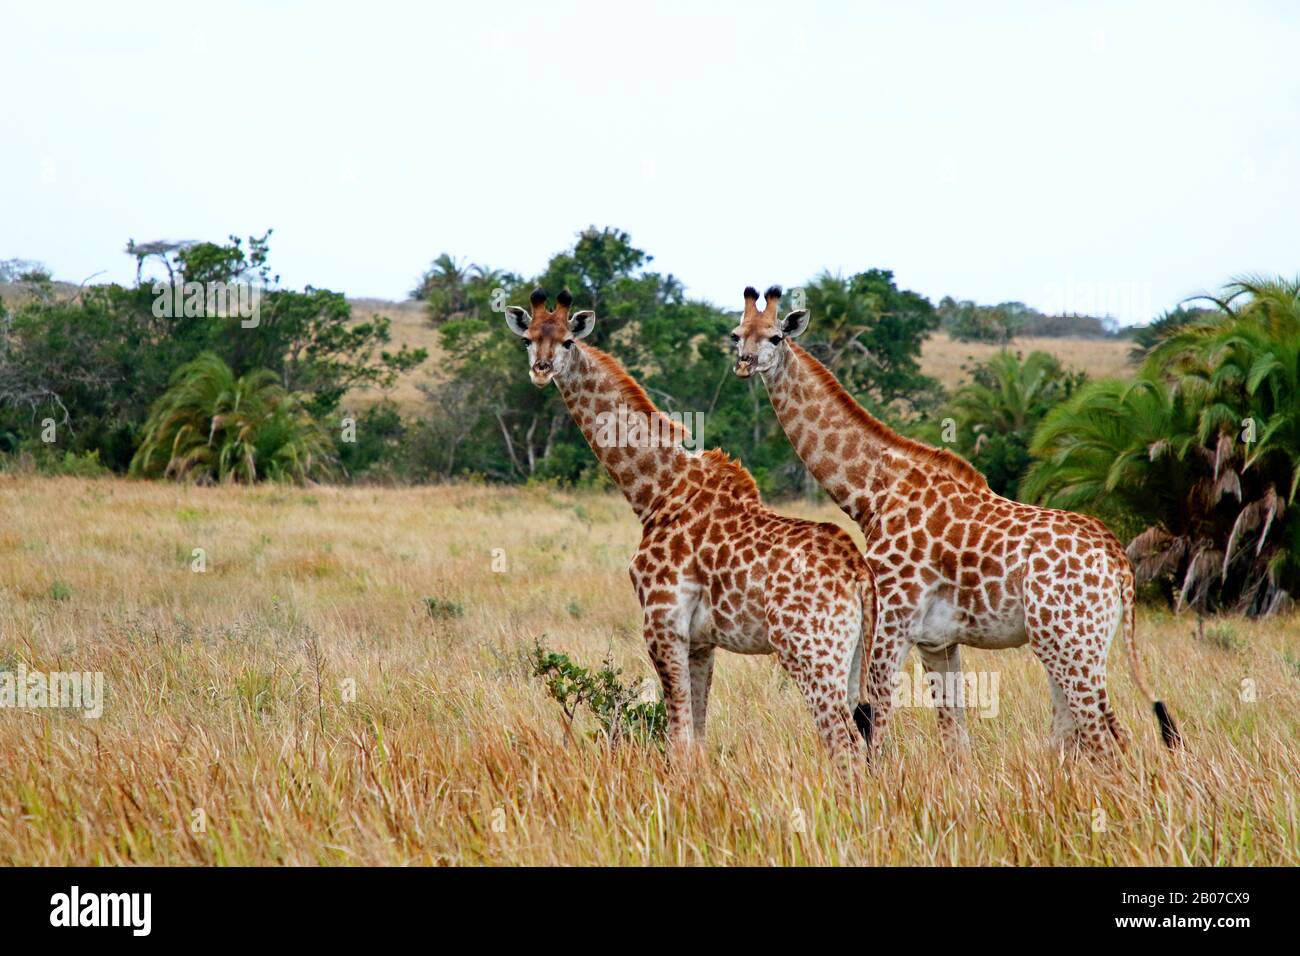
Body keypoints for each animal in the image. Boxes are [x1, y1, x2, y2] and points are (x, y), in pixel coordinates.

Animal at [505, 288, 877, 763]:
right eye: (528, 339)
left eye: (568, 342)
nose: (541, 370)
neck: (656, 492)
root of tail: (859, 574)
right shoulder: (702, 641)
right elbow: (698, 738)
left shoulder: (663, 623)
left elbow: (678, 740)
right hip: (851, 658)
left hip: (811, 651)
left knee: (844, 744)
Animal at [731, 285, 1181, 759]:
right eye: (736, 334)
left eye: (776, 337)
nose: (744, 363)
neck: (873, 492)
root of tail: (1119, 564)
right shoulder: (938, 640)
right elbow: (954, 738)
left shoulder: (892, 620)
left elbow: (876, 723)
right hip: (1068, 642)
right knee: (1073, 735)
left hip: (1073, 640)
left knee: (1108, 737)